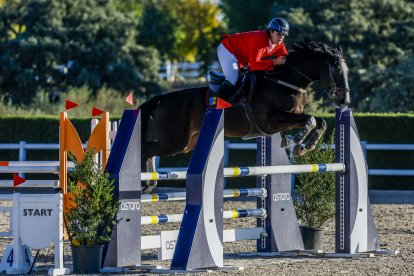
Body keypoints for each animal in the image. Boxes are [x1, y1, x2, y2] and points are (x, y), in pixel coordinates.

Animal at [139, 40, 350, 193]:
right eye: (338, 70)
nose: (344, 100)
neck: (285, 82)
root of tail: (162, 98)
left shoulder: (289, 117)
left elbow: (319, 121)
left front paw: (305, 145)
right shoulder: (272, 121)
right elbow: (310, 120)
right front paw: (297, 141)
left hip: (187, 142)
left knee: (152, 149)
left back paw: (151, 182)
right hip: (176, 141)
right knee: (147, 149)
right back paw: (144, 182)